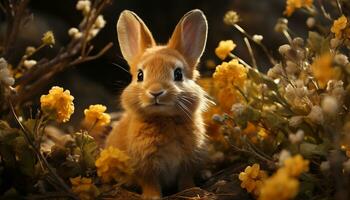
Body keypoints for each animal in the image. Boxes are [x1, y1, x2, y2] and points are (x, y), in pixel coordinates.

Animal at [105, 9, 209, 200]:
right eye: (140, 75)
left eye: (178, 74)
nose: (156, 92)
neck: (163, 119)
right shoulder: (145, 167)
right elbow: (150, 182)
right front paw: (152, 196)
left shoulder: (188, 161)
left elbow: (185, 179)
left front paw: (192, 191)